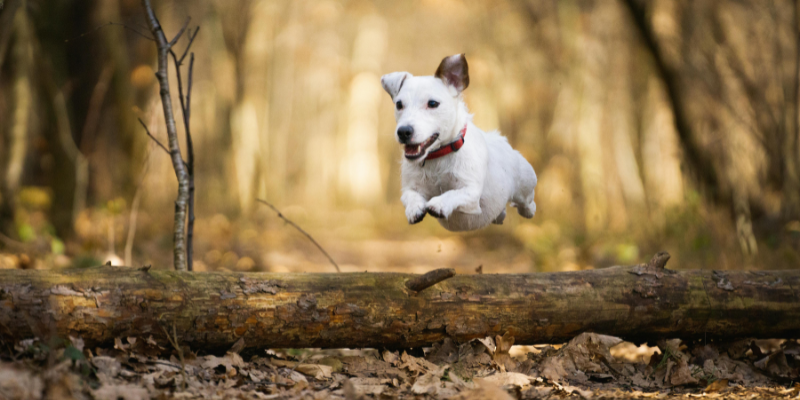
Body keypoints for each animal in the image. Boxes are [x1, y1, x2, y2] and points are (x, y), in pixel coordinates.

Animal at [382, 54, 536, 233]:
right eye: (399, 104)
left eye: (432, 103)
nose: (403, 131)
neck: (439, 156)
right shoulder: (410, 188)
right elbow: (410, 196)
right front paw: (414, 209)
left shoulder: (471, 193)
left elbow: (453, 193)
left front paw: (439, 204)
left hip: (525, 185)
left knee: (527, 202)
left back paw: (528, 210)